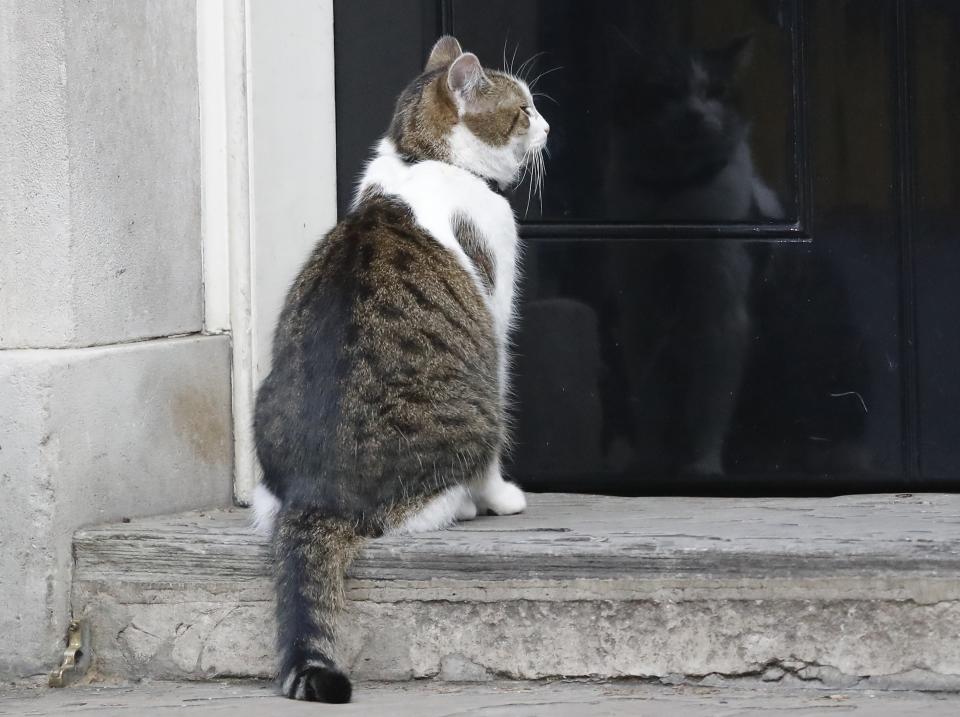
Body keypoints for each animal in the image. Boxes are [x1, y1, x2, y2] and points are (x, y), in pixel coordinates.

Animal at [249, 36, 548, 704]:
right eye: (522, 108)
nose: (549, 124)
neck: (418, 159)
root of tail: (317, 497)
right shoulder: (497, 320)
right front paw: (503, 498)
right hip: (470, 412)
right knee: (417, 511)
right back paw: (465, 505)